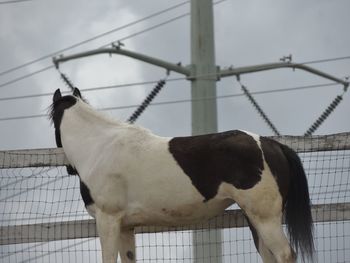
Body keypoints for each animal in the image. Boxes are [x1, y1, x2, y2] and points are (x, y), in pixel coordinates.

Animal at [51, 88, 314, 263]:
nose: (69, 168)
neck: (100, 147)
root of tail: (273, 144)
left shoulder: (108, 219)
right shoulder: (126, 226)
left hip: (266, 218)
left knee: (285, 254)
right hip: (255, 218)